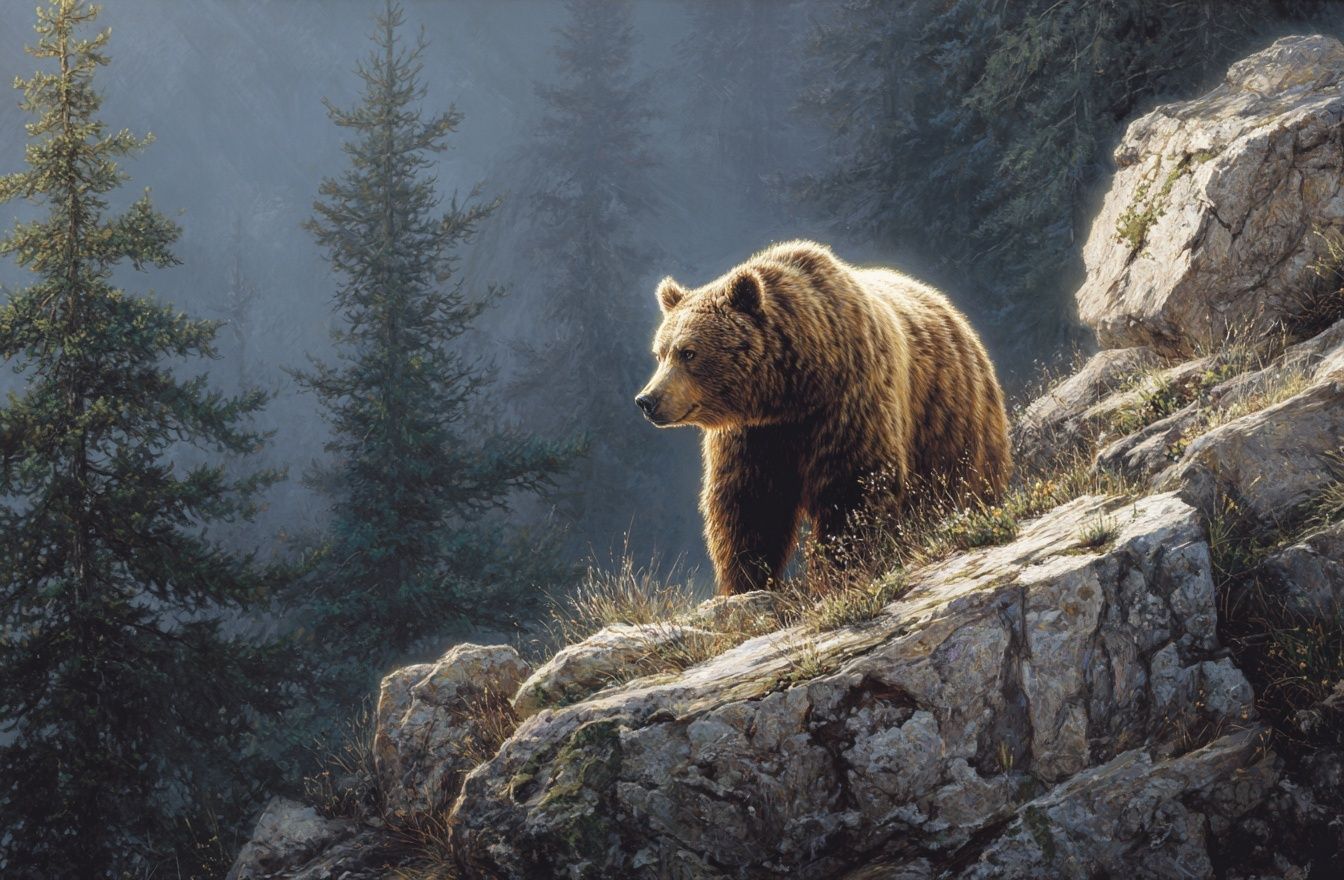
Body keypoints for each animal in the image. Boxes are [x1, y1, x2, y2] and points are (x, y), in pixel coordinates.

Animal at [636, 240, 1011, 595]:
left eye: (688, 352)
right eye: (660, 353)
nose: (647, 400)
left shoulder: (847, 404)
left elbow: (854, 489)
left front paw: (838, 570)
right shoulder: (753, 437)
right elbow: (748, 507)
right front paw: (745, 581)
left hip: (950, 421)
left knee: (954, 487)